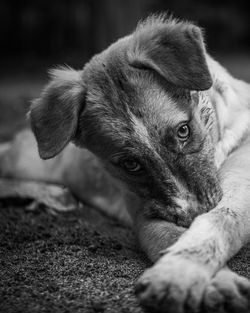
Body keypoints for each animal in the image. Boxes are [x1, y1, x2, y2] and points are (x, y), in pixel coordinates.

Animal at [0, 15, 250, 312]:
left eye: (183, 130)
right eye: (131, 164)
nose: (190, 216)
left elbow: (216, 224)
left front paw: (180, 274)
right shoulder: (147, 216)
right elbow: (177, 238)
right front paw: (197, 280)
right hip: (27, 162)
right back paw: (50, 194)